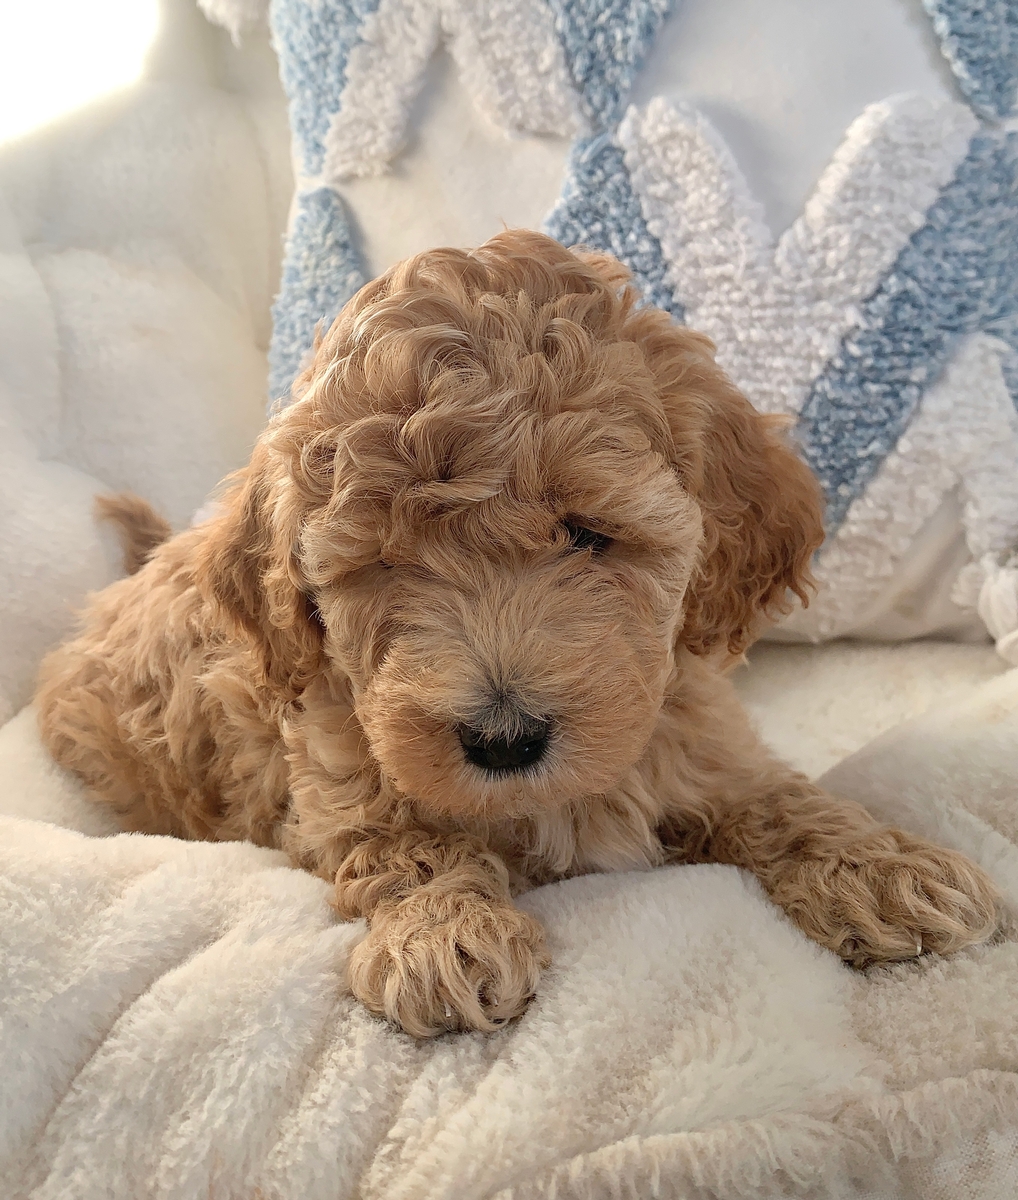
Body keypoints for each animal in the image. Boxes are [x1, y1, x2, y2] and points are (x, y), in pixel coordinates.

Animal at [37, 230, 999, 1037]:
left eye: (587, 533)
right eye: (385, 561)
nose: (503, 740)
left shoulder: (701, 741)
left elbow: (780, 799)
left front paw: (883, 870)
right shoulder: (338, 791)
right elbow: (407, 848)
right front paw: (442, 937)